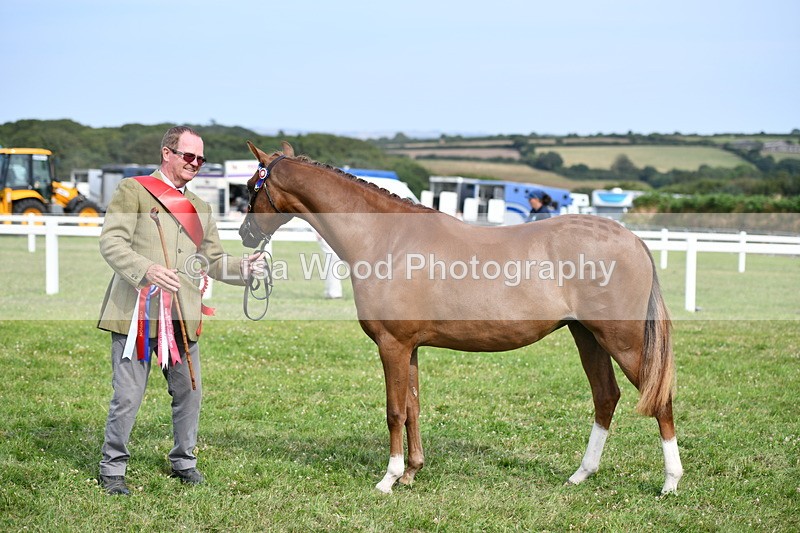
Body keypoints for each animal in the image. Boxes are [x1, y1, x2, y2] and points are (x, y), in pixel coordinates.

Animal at [239, 141, 683, 495]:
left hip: (622, 340)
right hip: (586, 336)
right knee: (605, 396)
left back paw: (670, 482)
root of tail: (633, 239)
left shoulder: (392, 346)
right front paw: (411, 473)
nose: (245, 234)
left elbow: (394, 411)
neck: (388, 241)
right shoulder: (410, 348)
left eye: (250, 187)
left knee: (659, 398)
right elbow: (413, 407)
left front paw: (388, 478)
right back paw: (581, 474)